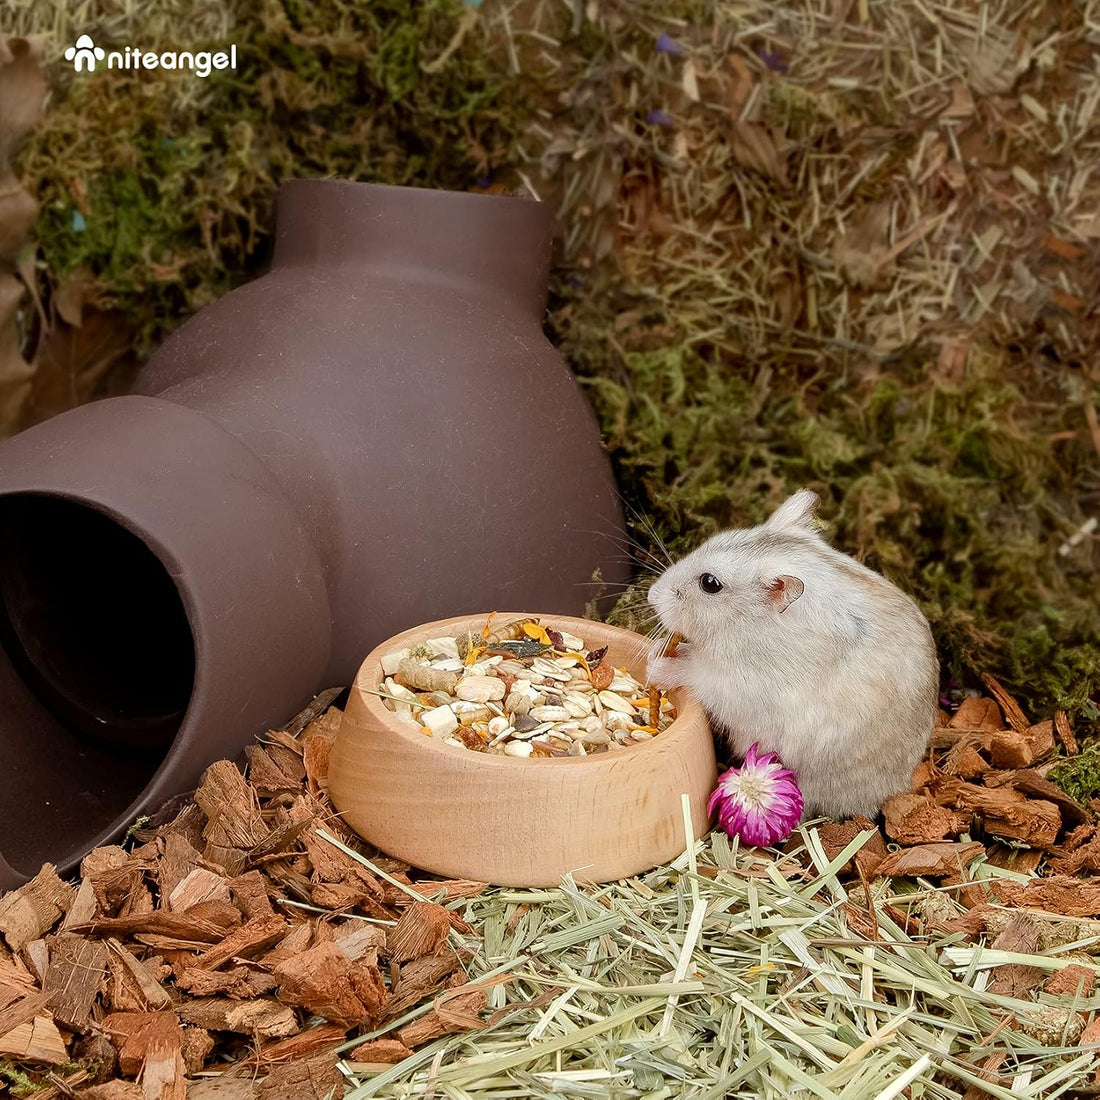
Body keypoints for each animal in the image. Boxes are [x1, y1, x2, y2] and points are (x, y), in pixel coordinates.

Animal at [645, 490, 938, 819]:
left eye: (710, 583)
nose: (651, 595)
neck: (746, 625)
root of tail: (896, 788)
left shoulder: (740, 686)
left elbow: (695, 673)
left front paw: (655, 665)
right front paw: (657, 648)